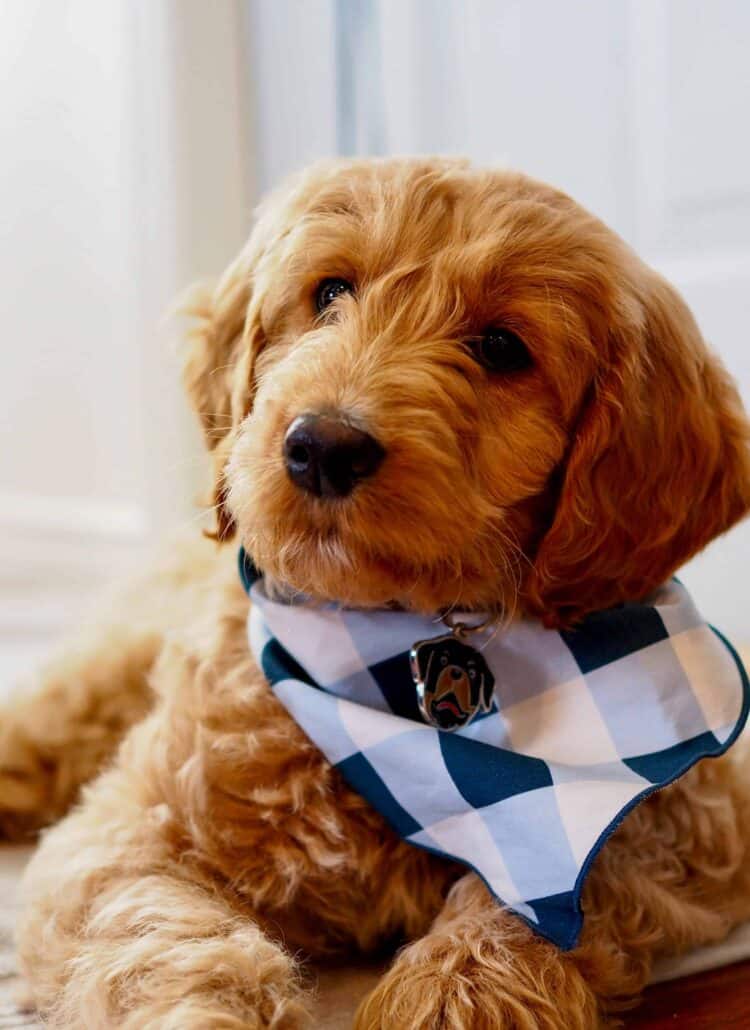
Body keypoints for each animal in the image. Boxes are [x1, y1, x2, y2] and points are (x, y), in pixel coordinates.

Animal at [1, 154, 750, 1030]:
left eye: (502, 346)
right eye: (329, 291)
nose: (323, 445)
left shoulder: (691, 816)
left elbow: (576, 873)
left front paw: (453, 993)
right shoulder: (128, 832)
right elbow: (163, 933)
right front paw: (214, 1009)